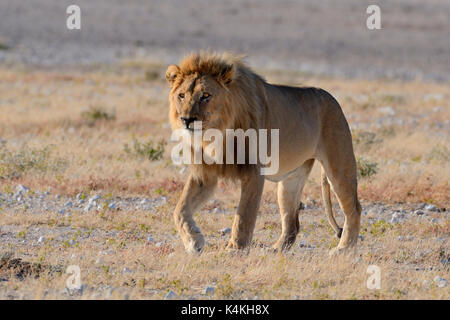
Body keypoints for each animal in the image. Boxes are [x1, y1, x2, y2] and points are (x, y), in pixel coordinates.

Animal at [166, 51, 362, 254]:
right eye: (181, 95)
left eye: (205, 96)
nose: (186, 119)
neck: (216, 133)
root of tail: (332, 98)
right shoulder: (205, 174)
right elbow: (180, 210)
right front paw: (194, 241)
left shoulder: (253, 172)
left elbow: (244, 215)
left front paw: (235, 249)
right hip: (290, 182)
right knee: (292, 223)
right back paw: (276, 249)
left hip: (339, 166)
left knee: (354, 209)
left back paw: (343, 248)